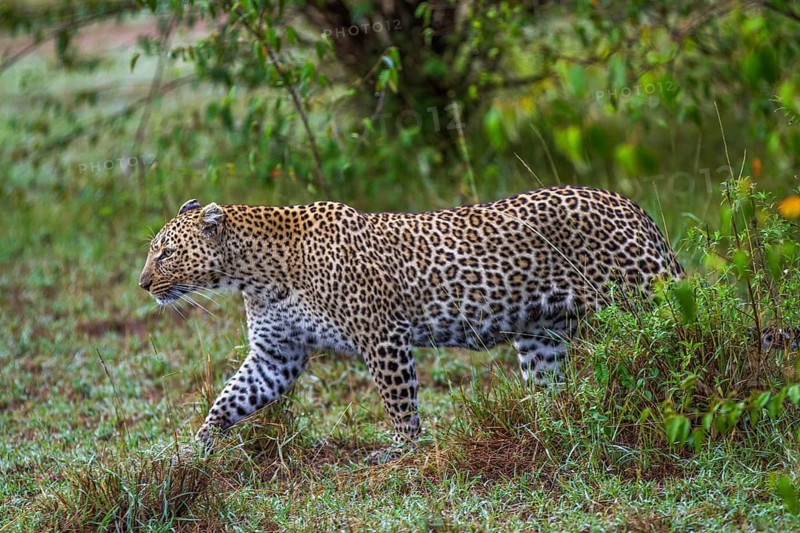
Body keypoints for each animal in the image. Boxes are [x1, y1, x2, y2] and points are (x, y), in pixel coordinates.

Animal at [138, 186, 683, 459]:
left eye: (165, 253)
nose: (142, 283)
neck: (255, 274)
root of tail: (632, 207)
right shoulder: (277, 354)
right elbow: (231, 398)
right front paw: (195, 448)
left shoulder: (382, 337)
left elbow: (398, 401)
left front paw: (401, 451)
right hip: (541, 335)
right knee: (550, 390)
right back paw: (544, 430)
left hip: (641, 298)